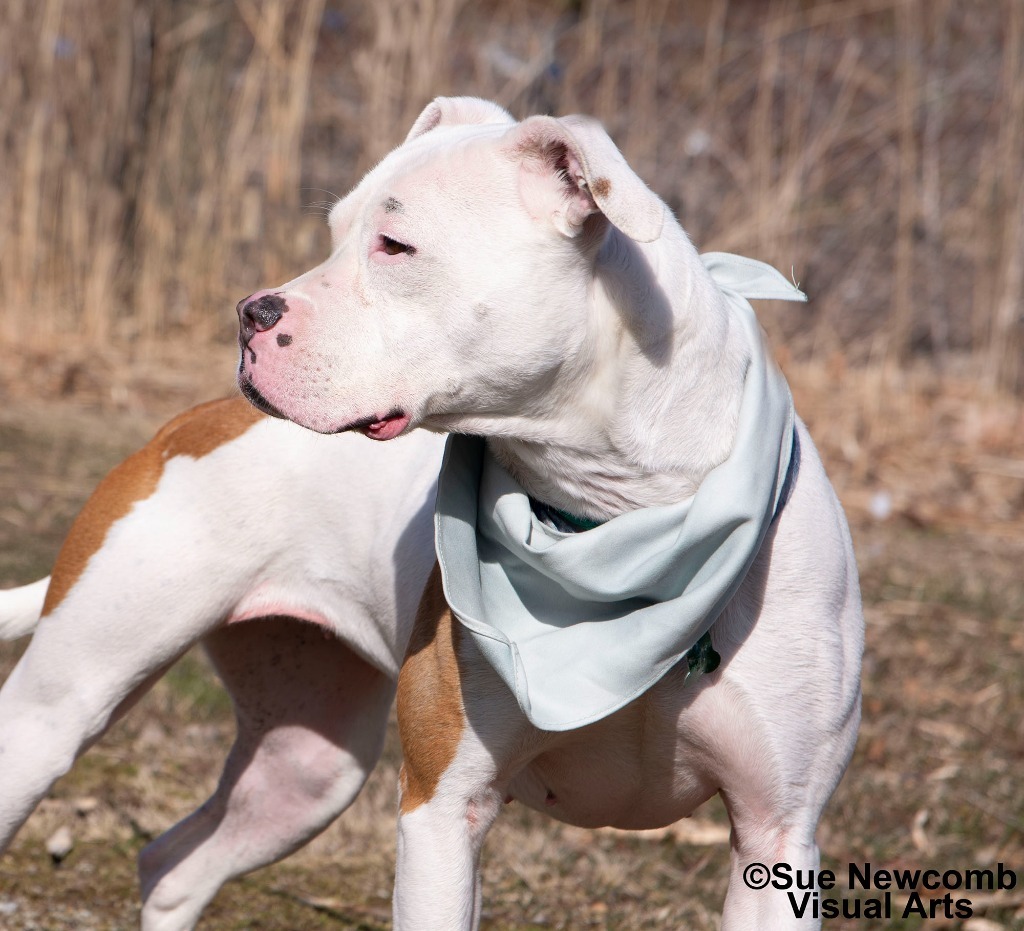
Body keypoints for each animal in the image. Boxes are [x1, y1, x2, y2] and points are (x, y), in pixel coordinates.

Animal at [237, 98, 864, 925]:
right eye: (338, 229)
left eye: (395, 245)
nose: (248, 312)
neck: (618, 525)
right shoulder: (442, 805)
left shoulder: (778, 830)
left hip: (303, 764)